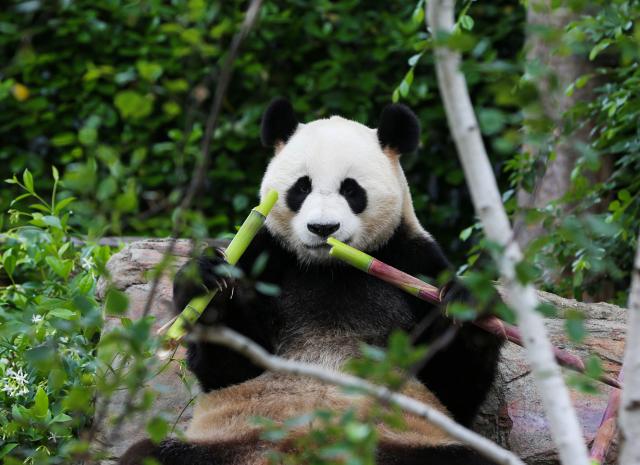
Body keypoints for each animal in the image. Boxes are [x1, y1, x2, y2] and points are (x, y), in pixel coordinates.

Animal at [119, 98, 503, 465]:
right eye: (301, 187)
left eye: (351, 190)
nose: (323, 228)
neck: (329, 268)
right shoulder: (263, 255)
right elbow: (227, 369)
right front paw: (207, 285)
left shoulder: (414, 262)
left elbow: (452, 385)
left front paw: (469, 305)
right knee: (148, 454)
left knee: (467, 458)